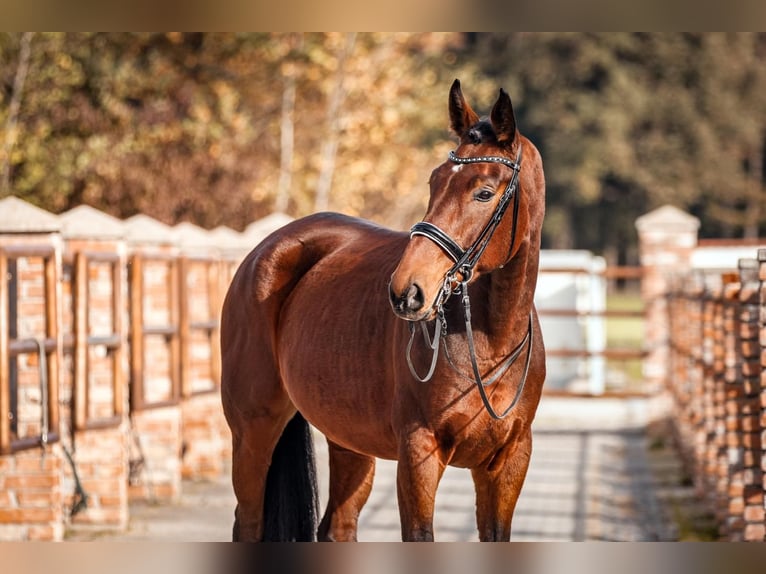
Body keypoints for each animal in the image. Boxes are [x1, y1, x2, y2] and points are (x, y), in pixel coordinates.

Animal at [220, 79, 544, 544]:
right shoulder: (418, 453)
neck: (490, 341)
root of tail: (266, 249)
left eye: (484, 192)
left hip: (348, 439)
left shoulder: (509, 462)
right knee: (248, 523)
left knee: (337, 526)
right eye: (434, 181)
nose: (407, 291)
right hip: (253, 431)